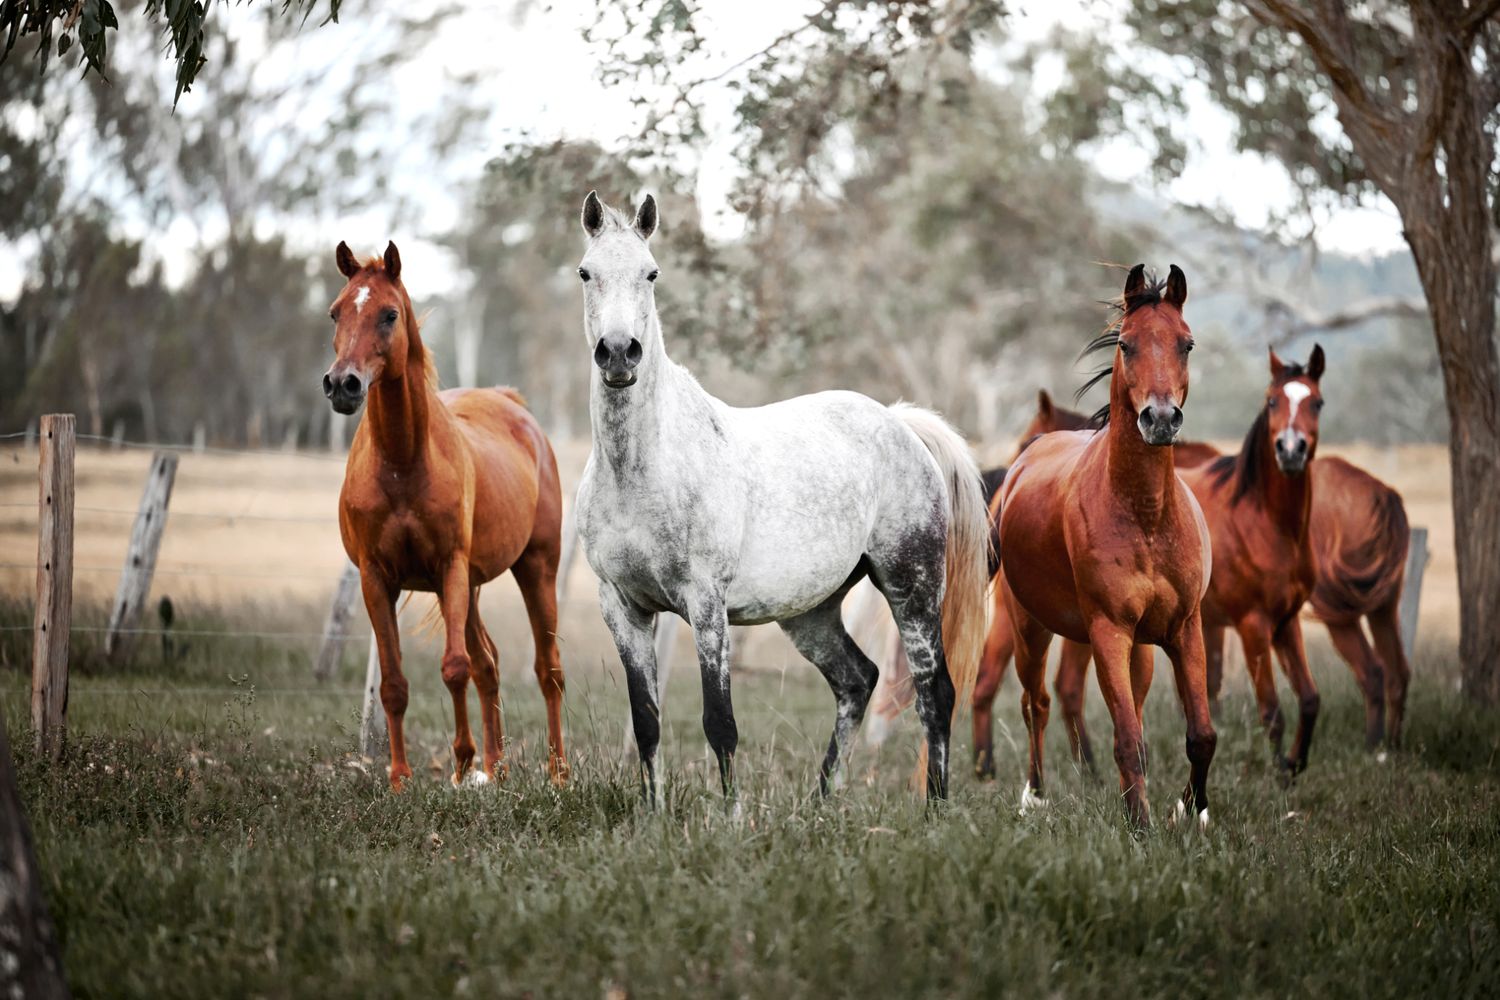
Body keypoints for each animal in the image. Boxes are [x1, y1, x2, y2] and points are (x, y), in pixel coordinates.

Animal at [322, 241, 567, 790]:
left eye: (389, 314)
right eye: (336, 311)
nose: (343, 384)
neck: (403, 461)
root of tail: (512, 404)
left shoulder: (449, 566)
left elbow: (454, 667)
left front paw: (459, 763)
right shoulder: (377, 578)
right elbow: (394, 683)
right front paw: (400, 779)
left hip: (535, 569)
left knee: (548, 671)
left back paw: (557, 772)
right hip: (470, 588)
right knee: (489, 664)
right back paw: (496, 769)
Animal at [571, 192, 989, 802]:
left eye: (651, 273)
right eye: (586, 272)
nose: (620, 354)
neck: (642, 471)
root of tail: (900, 425)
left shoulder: (706, 605)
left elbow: (719, 724)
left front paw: (731, 815)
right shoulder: (622, 608)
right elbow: (646, 723)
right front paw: (654, 814)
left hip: (911, 587)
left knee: (936, 694)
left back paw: (934, 806)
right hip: (812, 612)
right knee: (857, 681)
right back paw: (821, 802)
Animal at [998, 264, 1215, 828]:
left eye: (1186, 343)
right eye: (1126, 344)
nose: (1160, 419)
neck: (1146, 516)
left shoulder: (1185, 629)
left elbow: (1200, 735)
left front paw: (1193, 810)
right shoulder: (1108, 632)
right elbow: (1125, 739)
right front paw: (1140, 825)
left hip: (1141, 649)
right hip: (1031, 631)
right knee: (1037, 703)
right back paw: (1034, 794)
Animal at [1177, 346, 1327, 774]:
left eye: (1317, 402)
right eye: (1272, 401)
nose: (1290, 450)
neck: (1266, 522)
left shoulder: (1286, 622)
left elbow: (1310, 699)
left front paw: (1296, 763)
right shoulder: (1253, 626)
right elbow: (1272, 712)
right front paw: (1279, 773)